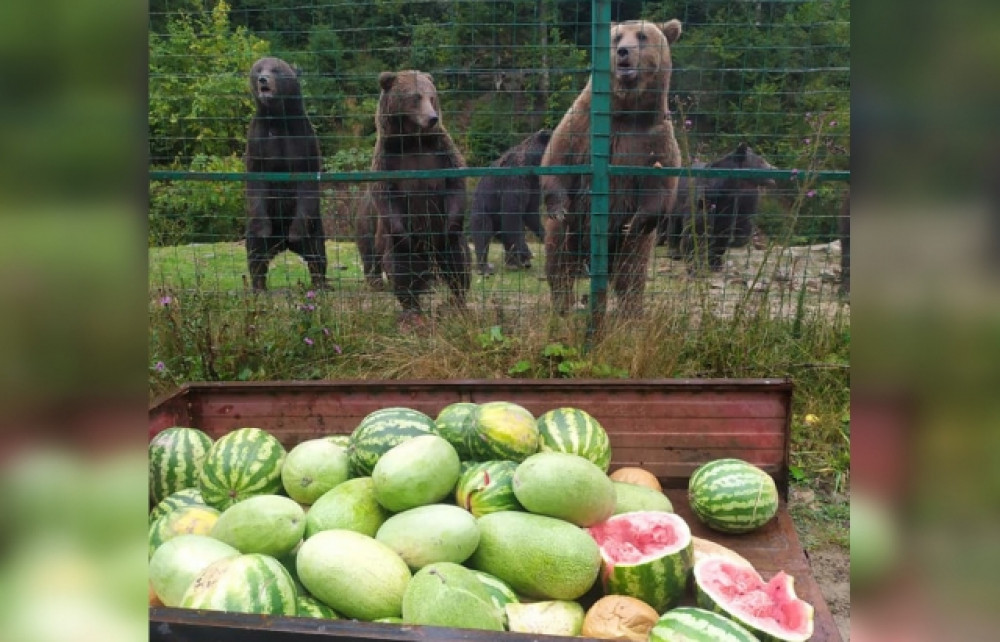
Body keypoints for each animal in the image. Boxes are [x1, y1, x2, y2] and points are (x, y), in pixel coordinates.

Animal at [245, 57, 328, 290]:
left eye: (275, 69)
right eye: (258, 69)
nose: (263, 79)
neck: (278, 120)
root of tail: (282, 244)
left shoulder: (302, 139)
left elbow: (306, 179)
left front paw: (296, 233)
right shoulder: (258, 140)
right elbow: (256, 180)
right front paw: (263, 230)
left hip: (314, 224)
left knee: (317, 253)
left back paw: (320, 284)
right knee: (256, 254)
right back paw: (259, 286)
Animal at [358, 70, 470, 320]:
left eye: (432, 96)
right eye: (415, 97)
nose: (432, 118)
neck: (412, 141)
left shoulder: (441, 152)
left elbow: (456, 184)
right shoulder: (388, 160)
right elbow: (386, 196)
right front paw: (408, 238)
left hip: (443, 243)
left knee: (458, 263)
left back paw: (456, 303)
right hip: (382, 236)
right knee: (400, 269)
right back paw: (412, 310)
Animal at [544, 20, 684, 318]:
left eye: (642, 36)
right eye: (617, 37)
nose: (623, 52)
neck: (624, 111)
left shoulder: (653, 139)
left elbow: (661, 185)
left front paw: (637, 220)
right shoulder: (580, 124)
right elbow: (558, 159)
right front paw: (558, 206)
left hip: (628, 245)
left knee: (630, 274)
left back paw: (630, 314)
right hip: (570, 233)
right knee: (559, 265)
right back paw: (563, 308)